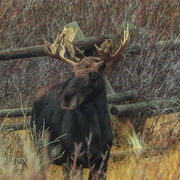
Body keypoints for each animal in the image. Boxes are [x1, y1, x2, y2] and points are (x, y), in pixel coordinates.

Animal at [30, 26, 129, 179]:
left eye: (93, 75)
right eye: (72, 73)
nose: (67, 98)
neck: (93, 132)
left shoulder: (102, 162)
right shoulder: (72, 160)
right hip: (39, 149)